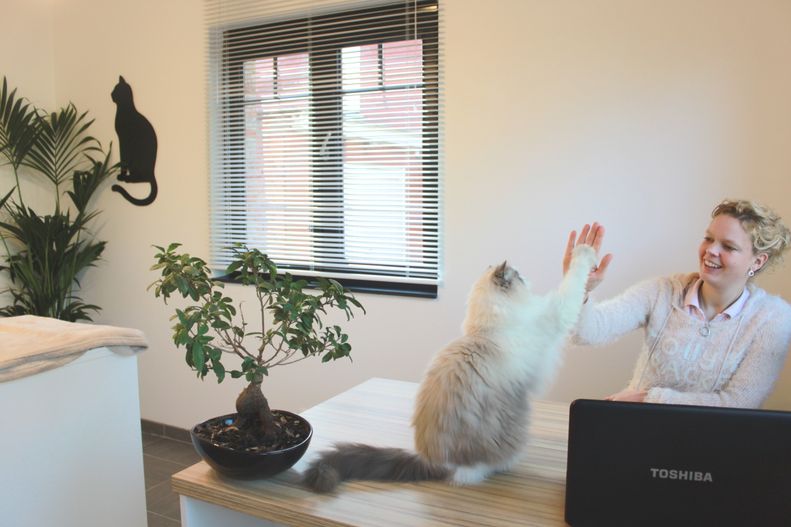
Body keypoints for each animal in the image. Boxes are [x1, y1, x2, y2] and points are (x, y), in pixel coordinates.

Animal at [110, 76, 158, 206]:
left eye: (115, 90)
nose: (111, 94)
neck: (124, 108)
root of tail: (152, 173)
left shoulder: (122, 139)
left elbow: (123, 158)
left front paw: (122, 174)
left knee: (142, 178)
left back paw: (127, 178)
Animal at [302, 244, 596, 493]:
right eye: (521, 278)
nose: (528, 278)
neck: (485, 329)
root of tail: (433, 462)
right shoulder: (555, 316)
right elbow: (573, 283)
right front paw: (586, 252)